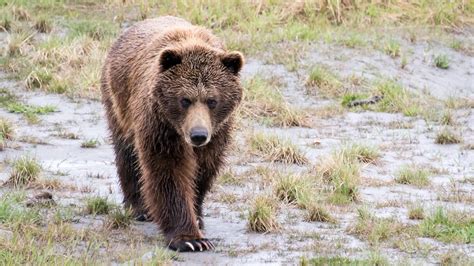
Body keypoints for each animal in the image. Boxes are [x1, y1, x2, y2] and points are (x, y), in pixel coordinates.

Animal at [102, 16, 246, 251]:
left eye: (212, 100)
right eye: (184, 100)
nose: (198, 135)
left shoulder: (218, 133)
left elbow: (203, 170)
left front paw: (197, 216)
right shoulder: (160, 125)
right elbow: (169, 171)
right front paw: (190, 239)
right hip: (118, 102)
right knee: (127, 152)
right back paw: (139, 207)